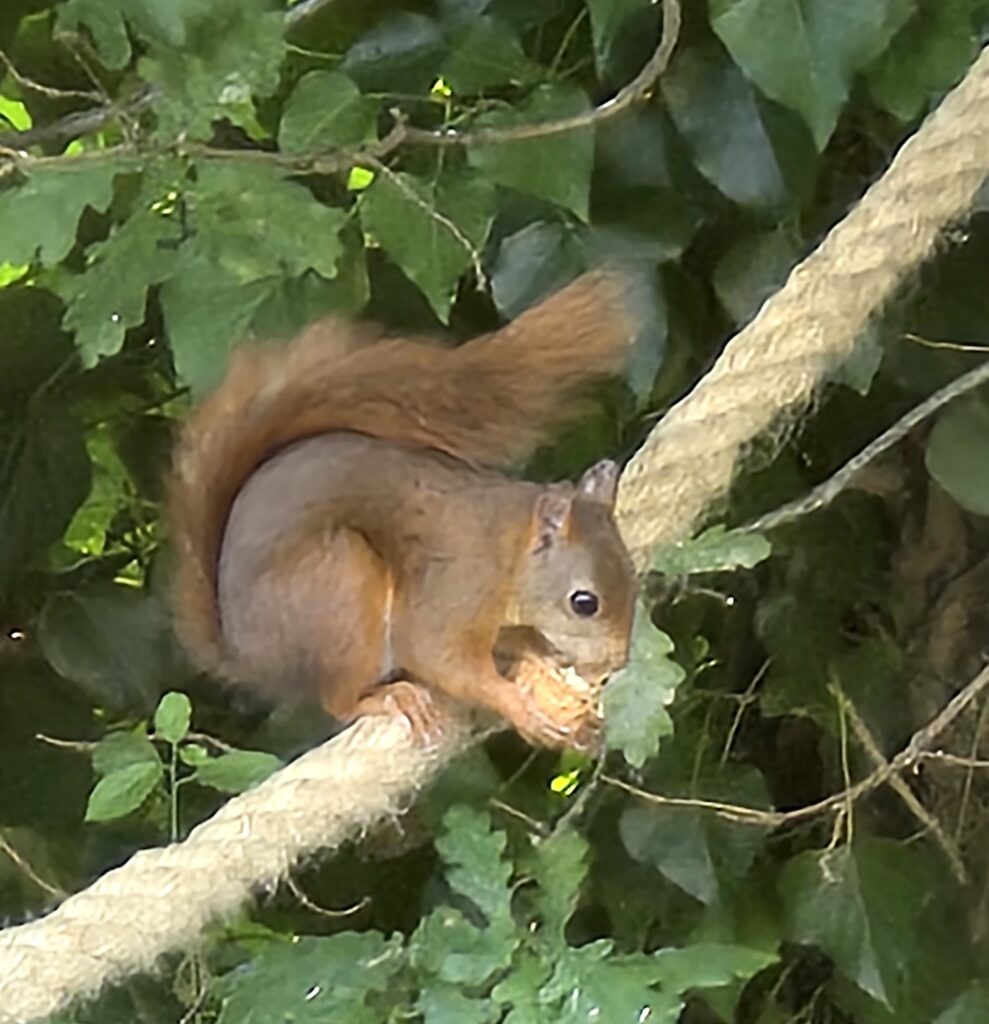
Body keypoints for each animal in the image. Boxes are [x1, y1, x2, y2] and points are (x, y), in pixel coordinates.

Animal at [166, 271, 639, 748]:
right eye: (584, 603)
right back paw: (387, 698)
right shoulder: (453, 589)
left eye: (634, 579)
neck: (507, 554)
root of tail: (246, 654)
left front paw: (536, 655)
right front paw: (516, 705)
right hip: (341, 588)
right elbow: (438, 657)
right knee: (338, 701)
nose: (617, 662)